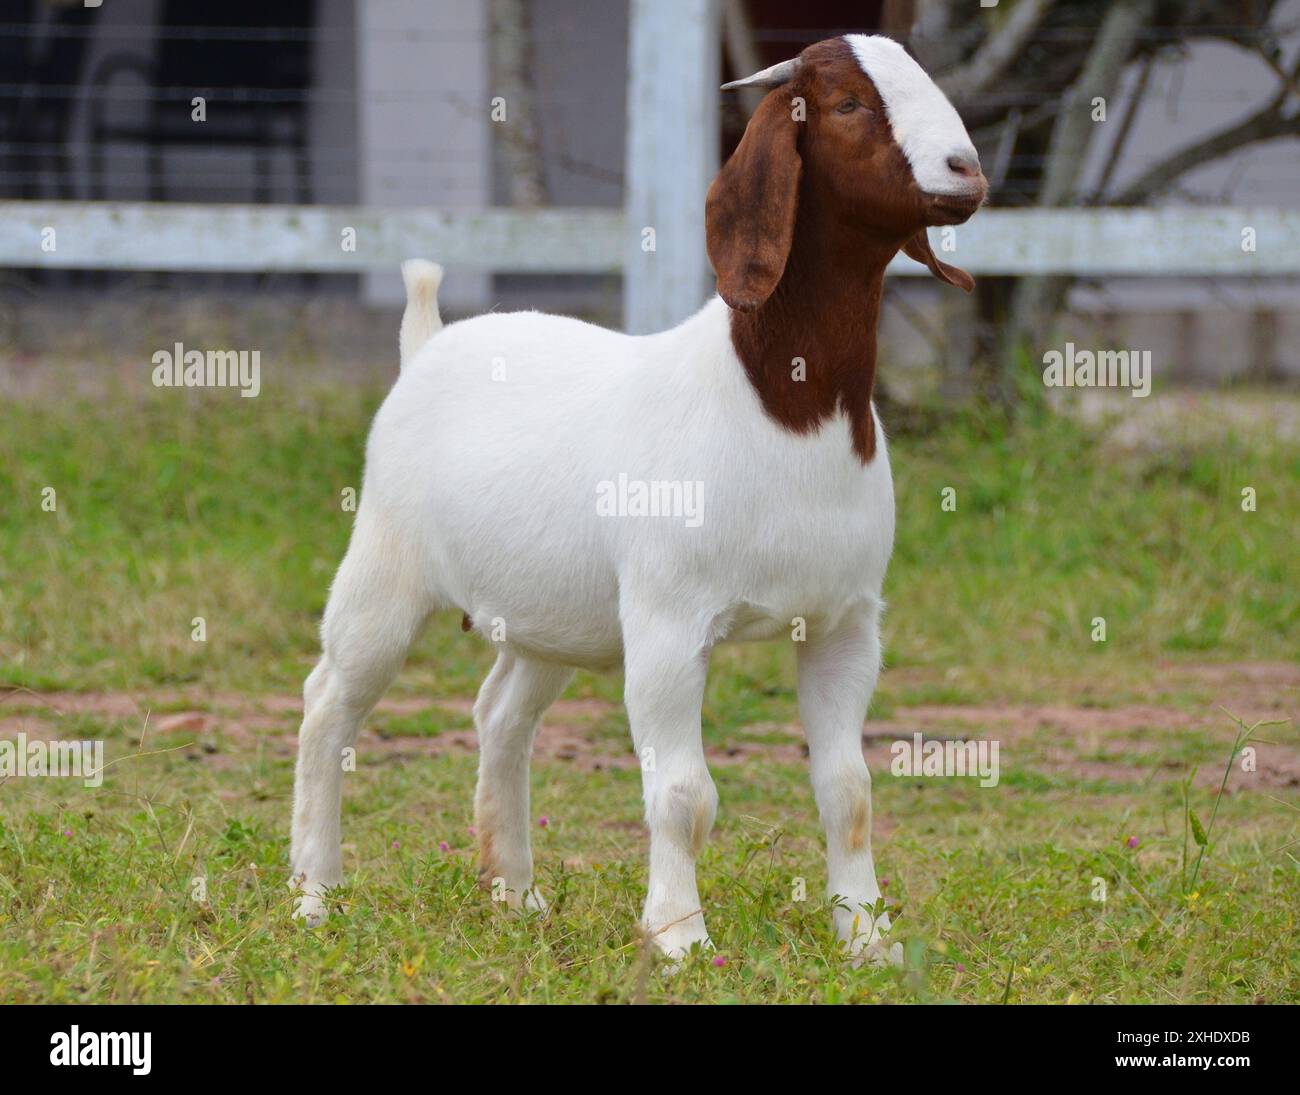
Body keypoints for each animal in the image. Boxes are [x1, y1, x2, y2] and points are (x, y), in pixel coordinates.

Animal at [292, 34, 982, 962]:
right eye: (847, 105)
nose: (967, 171)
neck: (778, 405)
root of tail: (427, 342)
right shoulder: (666, 621)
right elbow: (684, 792)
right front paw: (680, 935)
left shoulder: (844, 623)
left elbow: (850, 788)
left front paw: (867, 937)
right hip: (384, 564)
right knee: (328, 704)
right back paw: (315, 894)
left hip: (552, 611)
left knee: (500, 713)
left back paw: (515, 892)